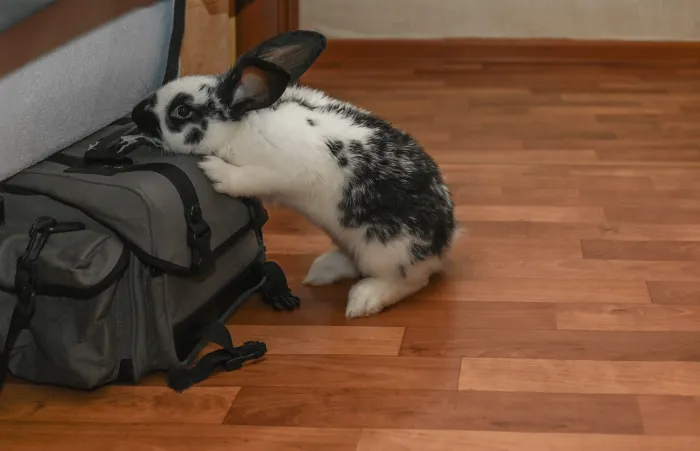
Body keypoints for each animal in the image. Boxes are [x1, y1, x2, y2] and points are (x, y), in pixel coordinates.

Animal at [130, 30, 460, 318]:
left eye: (182, 111)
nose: (135, 114)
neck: (242, 126)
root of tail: (444, 240)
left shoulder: (282, 172)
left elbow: (247, 179)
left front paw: (214, 170)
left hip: (387, 251)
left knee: (408, 281)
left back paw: (363, 300)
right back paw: (322, 271)